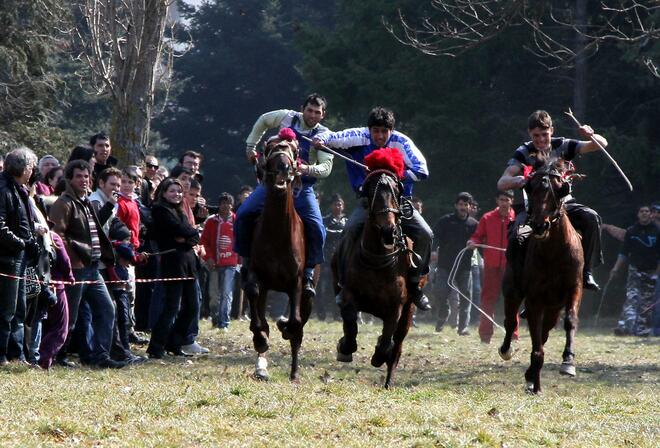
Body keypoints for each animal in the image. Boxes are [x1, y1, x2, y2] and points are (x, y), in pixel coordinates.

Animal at [246, 136, 310, 382]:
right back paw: (261, 367)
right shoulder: (256, 274)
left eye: (294, 149)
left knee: (299, 327)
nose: (283, 166)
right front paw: (260, 338)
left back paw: (294, 373)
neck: (277, 232)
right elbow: (257, 313)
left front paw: (286, 327)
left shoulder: (296, 282)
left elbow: (296, 323)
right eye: (270, 147)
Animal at [332, 168, 420, 388]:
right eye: (372, 192)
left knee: (397, 344)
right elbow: (350, 323)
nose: (389, 230)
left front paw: (379, 355)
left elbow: (388, 340)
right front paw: (344, 347)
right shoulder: (349, 296)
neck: (378, 259)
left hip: (409, 311)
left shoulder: (396, 308)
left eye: (396, 191)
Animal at [498, 159, 584, 394]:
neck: (554, 252)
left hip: (553, 307)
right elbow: (536, 343)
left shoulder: (573, 289)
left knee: (545, 331)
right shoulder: (534, 299)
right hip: (512, 289)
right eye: (530, 188)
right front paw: (535, 385)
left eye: (559, 189)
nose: (539, 225)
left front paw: (568, 362)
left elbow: (570, 321)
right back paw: (507, 351)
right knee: (511, 321)